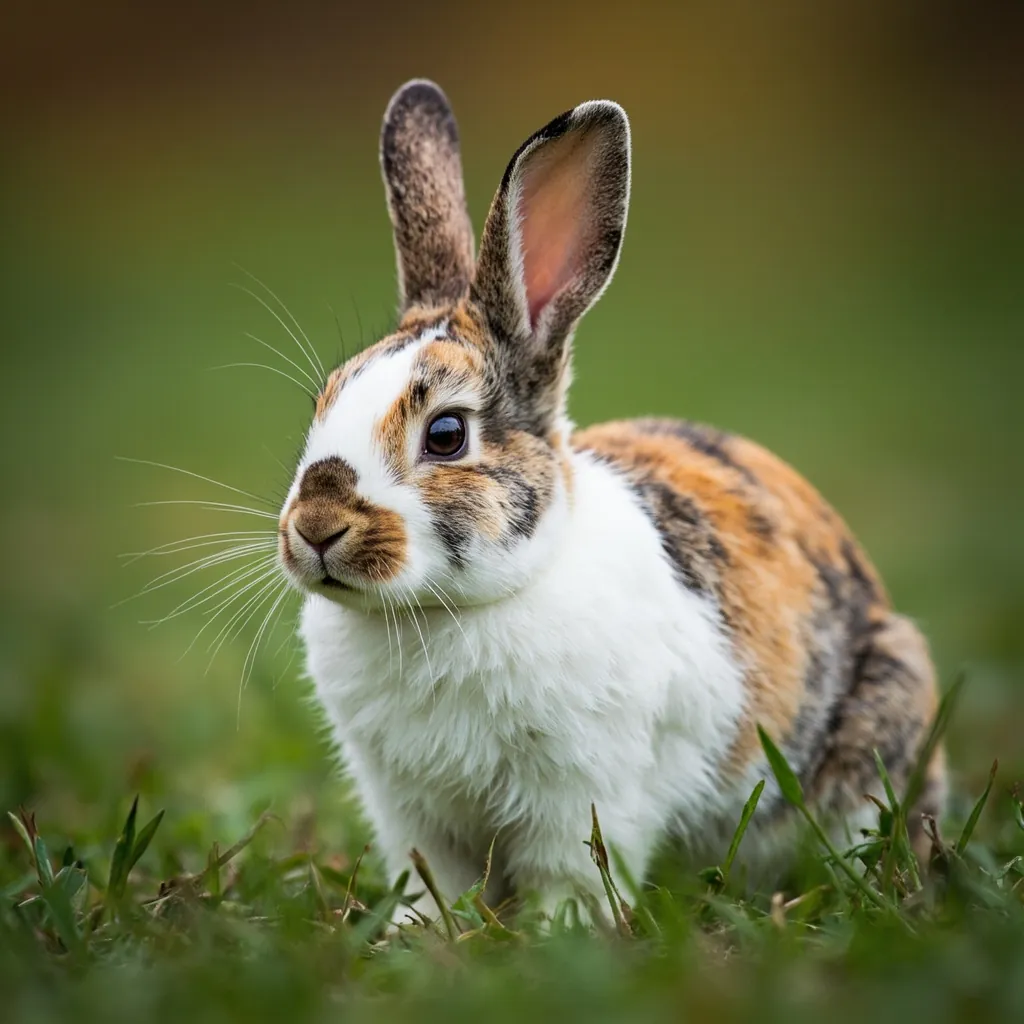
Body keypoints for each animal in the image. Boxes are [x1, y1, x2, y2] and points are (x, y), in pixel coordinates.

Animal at [276, 79, 946, 922]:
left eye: (447, 435)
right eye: (322, 405)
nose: (316, 527)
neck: (446, 611)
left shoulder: (584, 793)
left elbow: (572, 871)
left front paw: (556, 931)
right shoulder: (411, 810)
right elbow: (436, 879)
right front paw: (415, 930)